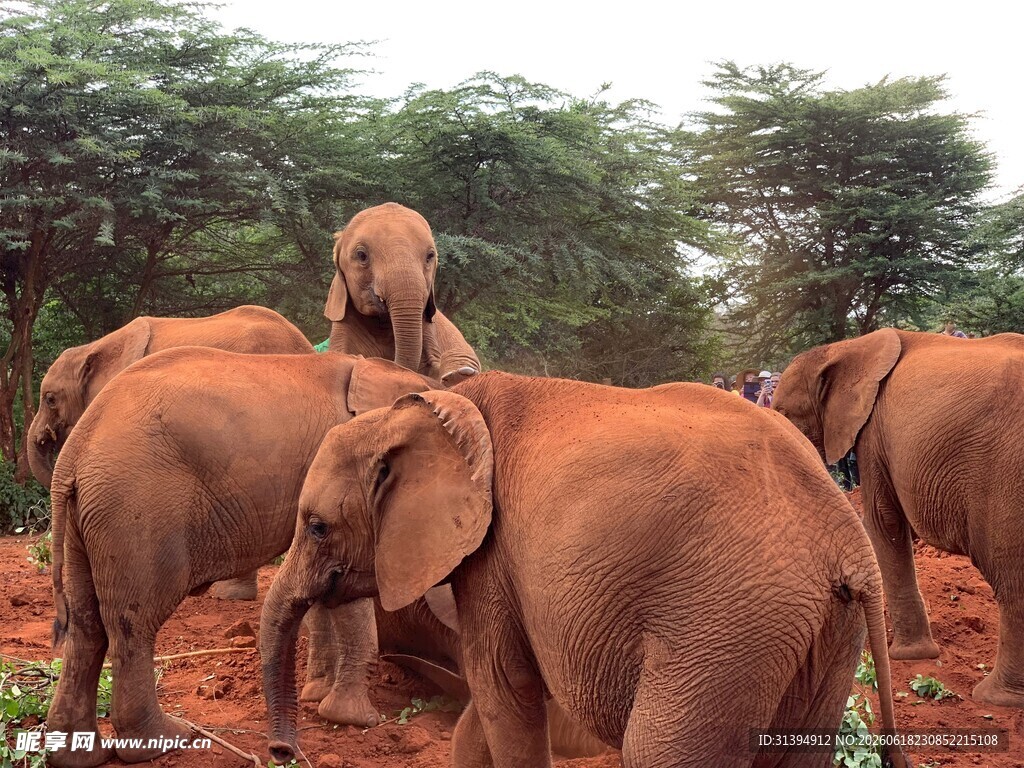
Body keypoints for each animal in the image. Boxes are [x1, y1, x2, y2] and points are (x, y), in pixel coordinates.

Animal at [45, 349, 442, 768]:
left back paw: (76, 756)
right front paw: (356, 719)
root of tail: (73, 451)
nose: (282, 751)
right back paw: (165, 741)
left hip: (85, 520)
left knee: (86, 624)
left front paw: (317, 697)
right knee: (133, 623)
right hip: (134, 509)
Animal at [261, 372, 906, 768]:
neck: (437, 408)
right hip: (822, 630)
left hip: (732, 622)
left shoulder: (495, 557)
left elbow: (505, 692)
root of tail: (847, 540)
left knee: (657, 751)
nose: (283, 754)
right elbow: (485, 713)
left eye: (316, 527)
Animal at [772, 328, 1024, 708]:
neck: (846, 347)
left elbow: (883, 522)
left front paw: (907, 657)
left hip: (1005, 475)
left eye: (782, 412)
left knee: (1010, 578)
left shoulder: (874, 433)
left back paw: (996, 698)